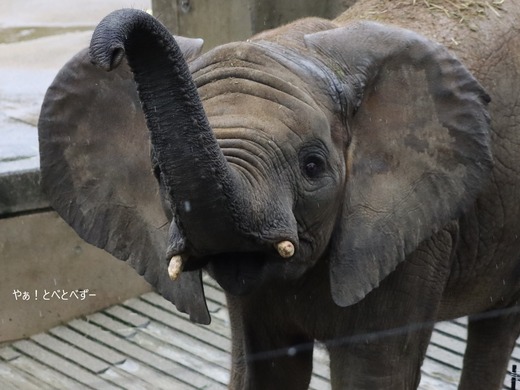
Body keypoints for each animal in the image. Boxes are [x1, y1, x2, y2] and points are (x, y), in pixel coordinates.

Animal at [37, 1, 520, 388]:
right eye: (158, 173)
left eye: (312, 166)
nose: (111, 53)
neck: (307, 50)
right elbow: (264, 370)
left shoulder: (417, 236)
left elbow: (373, 373)